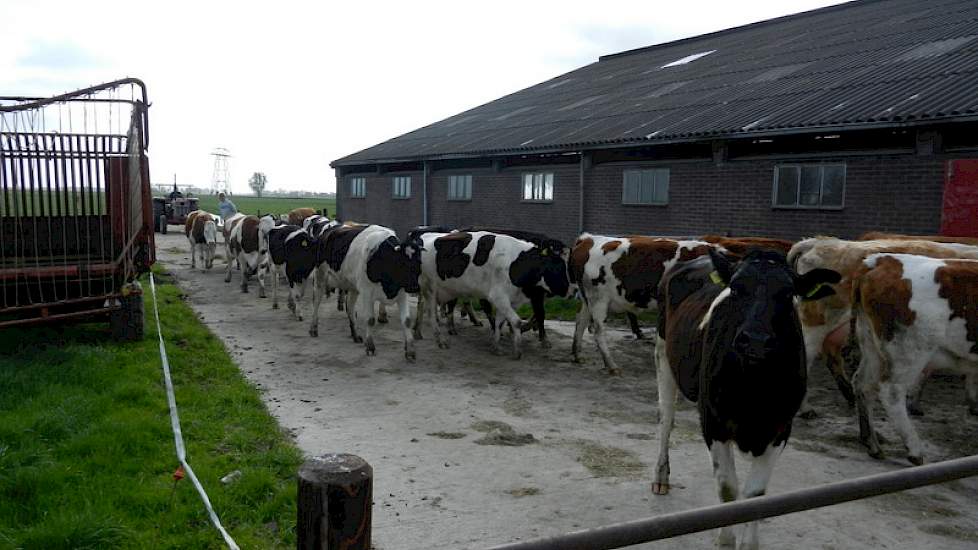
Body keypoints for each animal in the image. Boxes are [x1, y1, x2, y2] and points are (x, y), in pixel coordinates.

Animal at [310, 224, 422, 362]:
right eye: (402, 263)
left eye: (419, 262)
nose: (415, 287)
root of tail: (330, 229)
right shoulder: (367, 293)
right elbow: (370, 320)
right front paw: (370, 346)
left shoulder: (402, 294)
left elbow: (406, 321)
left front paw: (410, 350)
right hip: (320, 276)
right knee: (316, 302)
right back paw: (313, 328)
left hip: (352, 286)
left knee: (350, 308)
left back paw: (356, 335)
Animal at [418, 231, 572, 360]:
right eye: (557, 267)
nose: (572, 291)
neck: (516, 263)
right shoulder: (499, 297)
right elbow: (516, 321)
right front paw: (517, 351)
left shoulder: (509, 300)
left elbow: (500, 322)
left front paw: (496, 347)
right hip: (430, 288)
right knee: (431, 314)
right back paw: (440, 340)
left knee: (422, 307)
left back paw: (418, 333)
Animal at [648, 251, 840, 550]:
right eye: (736, 289)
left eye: (788, 294)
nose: (756, 340)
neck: (753, 389)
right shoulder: (714, 423)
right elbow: (728, 489)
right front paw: (726, 541)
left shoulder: (780, 429)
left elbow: (754, 495)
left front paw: (748, 543)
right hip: (662, 353)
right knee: (666, 420)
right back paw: (660, 477)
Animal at [784, 237, 976, 418]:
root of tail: (819, 241)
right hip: (818, 321)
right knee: (807, 355)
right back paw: (806, 408)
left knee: (832, 354)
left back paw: (850, 396)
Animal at [848, 254, 976, 466]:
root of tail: (884, 260)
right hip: (909, 352)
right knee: (891, 392)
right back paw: (914, 450)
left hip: (871, 346)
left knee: (863, 385)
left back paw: (873, 444)